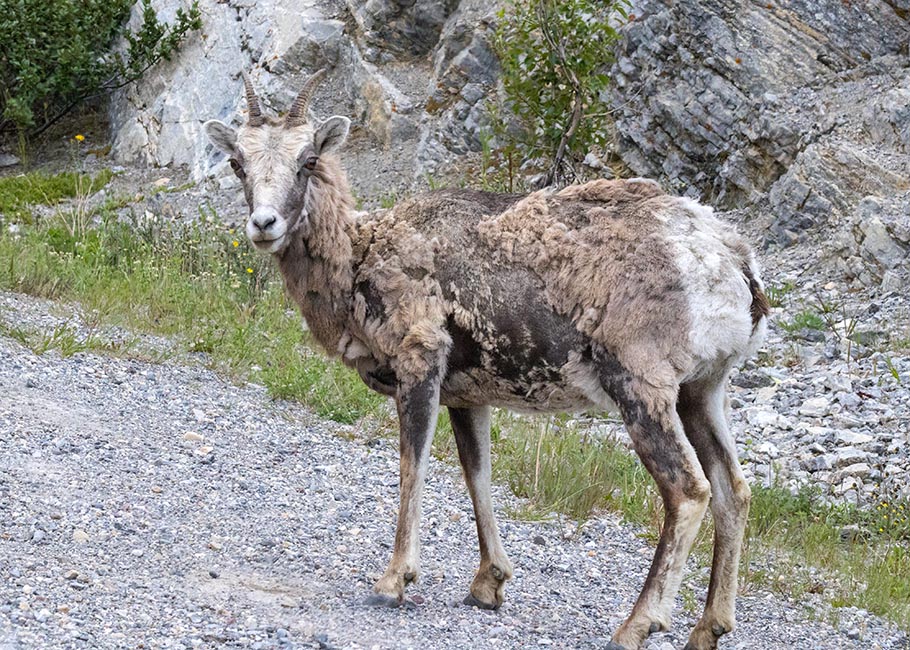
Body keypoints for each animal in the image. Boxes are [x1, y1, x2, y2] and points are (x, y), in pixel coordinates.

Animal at [205, 71, 768, 648]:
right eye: (238, 163)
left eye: (309, 160)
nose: (264, 223)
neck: (361, 257)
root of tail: (732, 264)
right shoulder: (467, 396)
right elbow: (477, 474)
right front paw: (487, 585)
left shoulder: (421, 363)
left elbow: (413, 465)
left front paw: (392, 582)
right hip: (702, 392)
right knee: (734, 491)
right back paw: (708, 628)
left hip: (641, 385)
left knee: (689, 490)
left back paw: (636, 626)